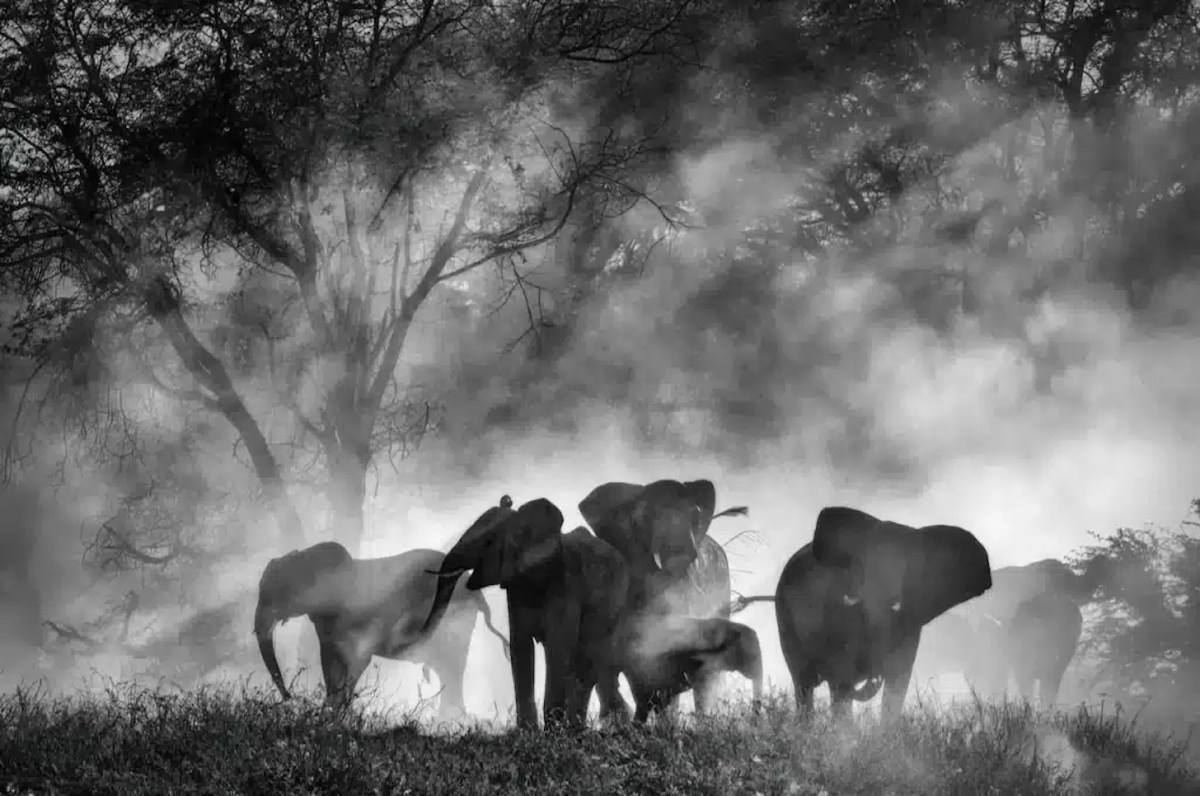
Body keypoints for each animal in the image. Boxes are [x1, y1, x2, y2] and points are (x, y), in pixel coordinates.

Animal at [254, 541, 510, 714]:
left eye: (276, 594)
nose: (291, 698)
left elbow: (356, 661)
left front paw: (336, 715)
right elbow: (329, 661)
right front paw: (331, 713)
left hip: (455, 622)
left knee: (451, 668)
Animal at [423, 496, 631, 731]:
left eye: (488, 542)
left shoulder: (565, 582)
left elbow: (558, 646)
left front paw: (552, 731)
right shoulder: (516, 588)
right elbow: (520, 646)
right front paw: (527, 731)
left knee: (589, 661)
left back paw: (577, 728)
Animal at [620, 615, 763, 722]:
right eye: (752, 657)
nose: (753, 718)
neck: (730, 626)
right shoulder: (701, 661)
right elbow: (701, 689)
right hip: (641, 672)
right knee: (647, 703)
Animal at [776, 506, 993, 719]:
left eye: (906, 569)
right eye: (863, 565)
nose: (875, 675)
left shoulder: (911, 619)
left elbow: (898, 682)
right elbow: (841, 677)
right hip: (784, 615)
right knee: (804, 684)